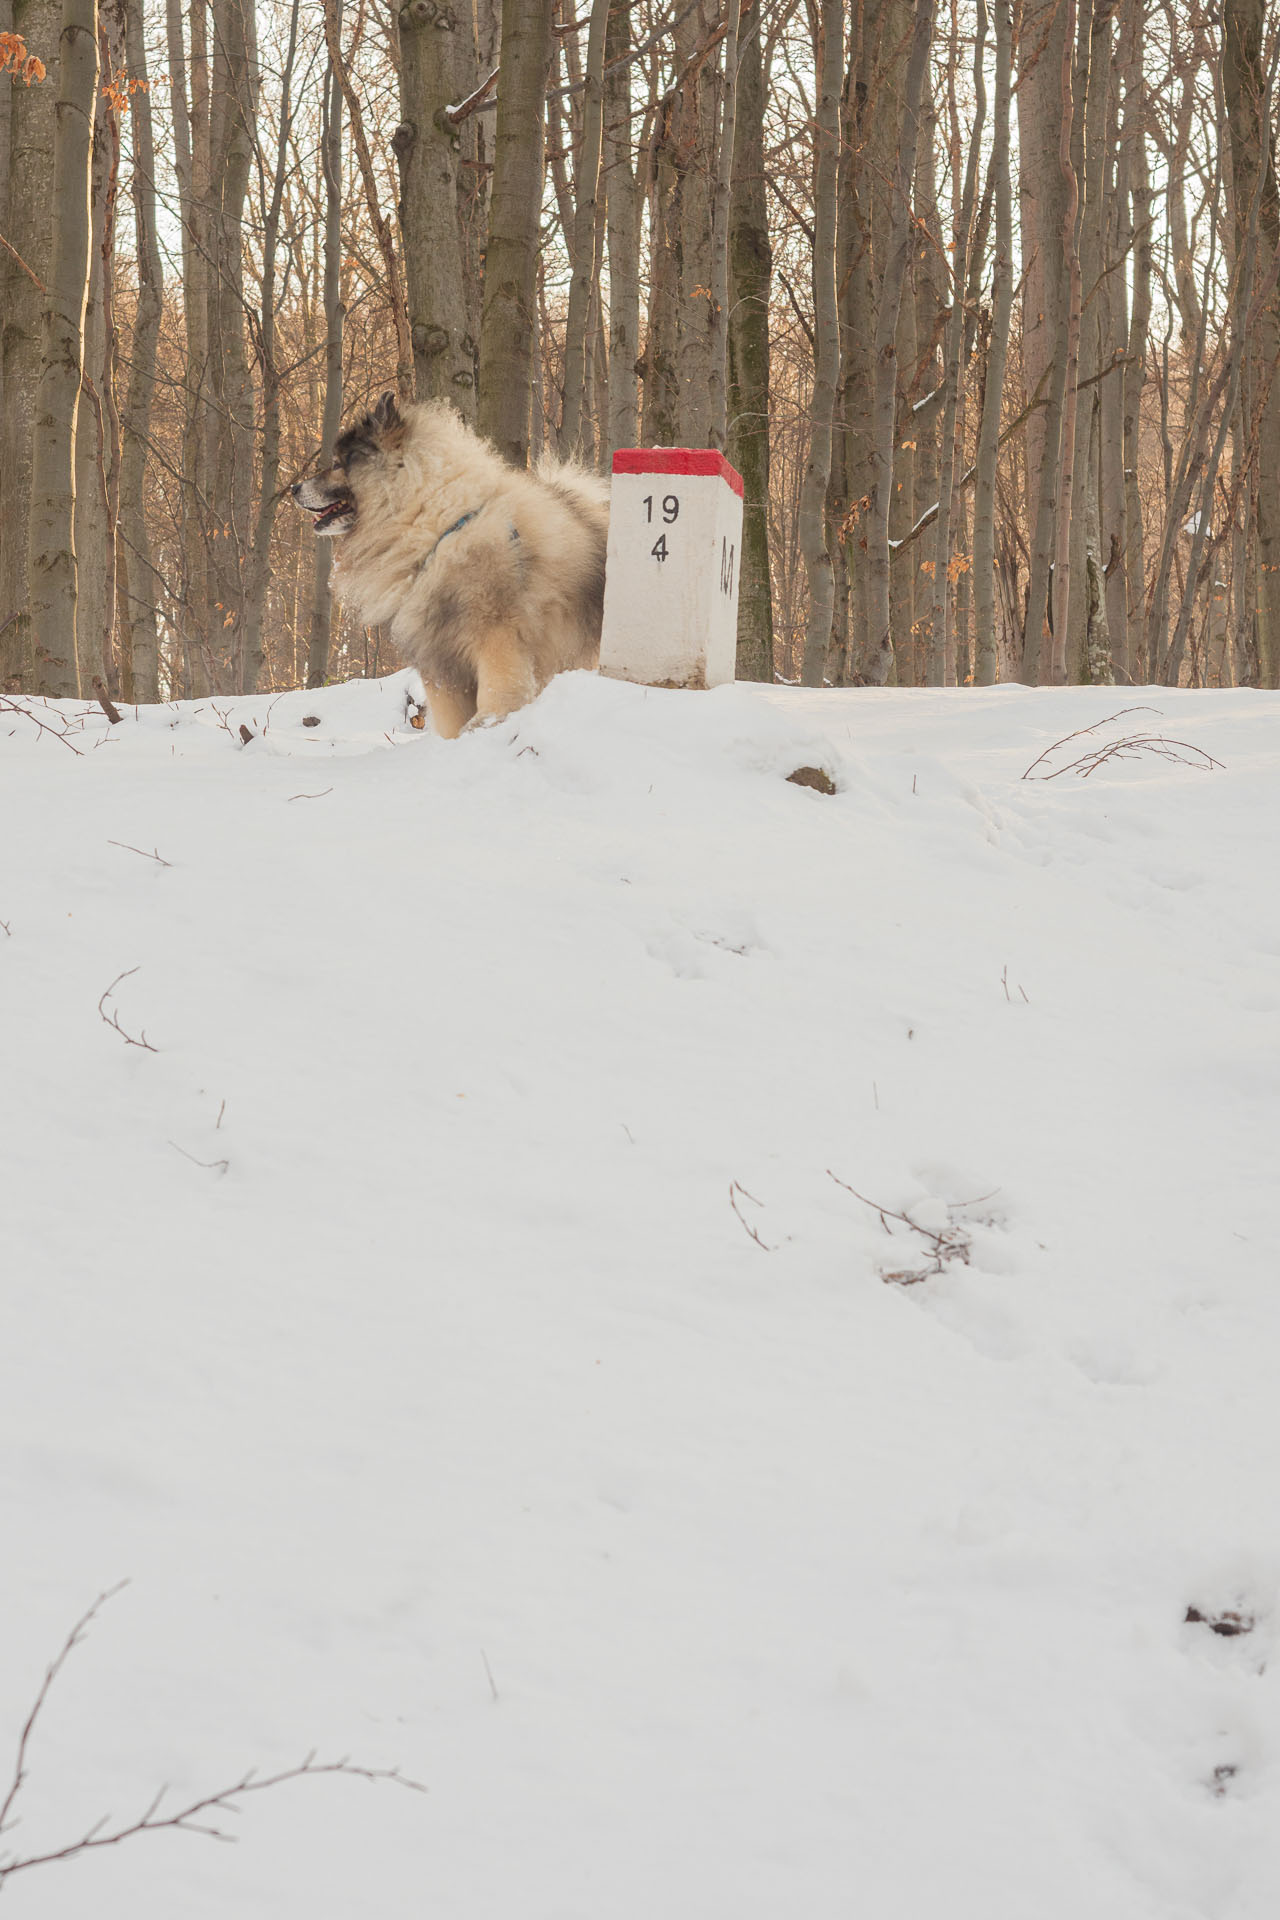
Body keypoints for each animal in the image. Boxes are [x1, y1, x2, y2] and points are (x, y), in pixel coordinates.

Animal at [291, 395, 610, 733]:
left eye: (339, 464)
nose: (294, 488)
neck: (435, 526)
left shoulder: (498, 637)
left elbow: (499, 690)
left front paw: (487, 724)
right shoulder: (441, 665)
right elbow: (450, 723)